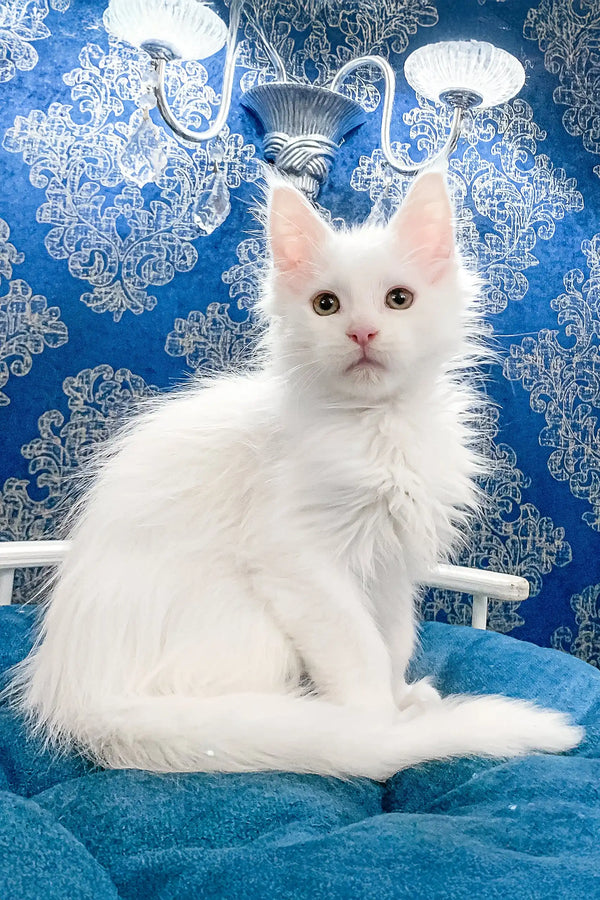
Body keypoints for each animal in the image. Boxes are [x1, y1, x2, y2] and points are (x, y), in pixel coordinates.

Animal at [8, 176, 580, 780]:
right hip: (248, 630)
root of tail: (83, 701)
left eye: (398, 299)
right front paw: (382, 727)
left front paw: (400, 699)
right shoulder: (297, 559)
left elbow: (393, 642)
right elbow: (360, 654)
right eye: (326, 305)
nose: (361, 332)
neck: (378, 428)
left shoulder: (388, 566)